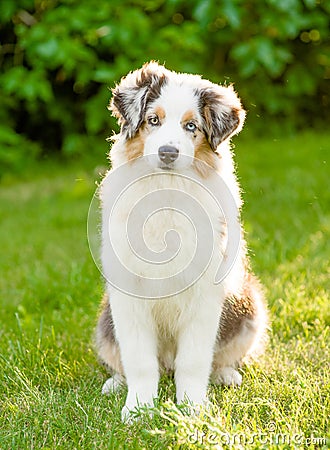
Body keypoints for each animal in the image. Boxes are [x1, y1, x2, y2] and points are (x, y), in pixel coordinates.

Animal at [95, 61, 268, 420]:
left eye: (192, 126)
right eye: (153, 120)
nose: (167, 152)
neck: (168, 188)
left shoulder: (205, 293)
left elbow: (194, 359)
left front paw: (192, 409)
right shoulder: (128, 293)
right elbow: (139, 360)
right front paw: (138, 409)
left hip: (251, 310)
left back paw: (226, 375)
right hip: (105, 322)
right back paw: (115, 384)